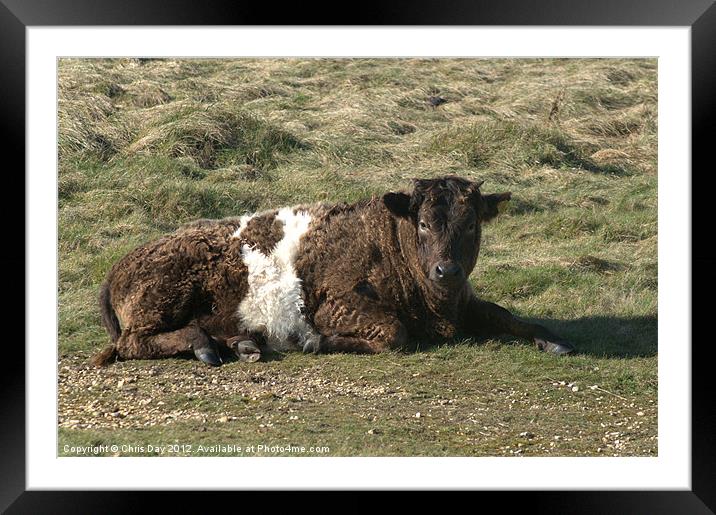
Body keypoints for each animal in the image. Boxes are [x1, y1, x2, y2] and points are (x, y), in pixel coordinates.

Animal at [91, 175, 576, 368]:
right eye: (423, 223)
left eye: (471, 223)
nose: (447, 269)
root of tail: (121, 264)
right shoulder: (336, 304)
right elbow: (394, 332)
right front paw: (317, 342)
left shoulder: (467, 300)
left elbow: (507, 314)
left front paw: (552, 339)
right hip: (163, 296)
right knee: (134, 343)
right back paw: (204, 345)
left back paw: (240, 343)